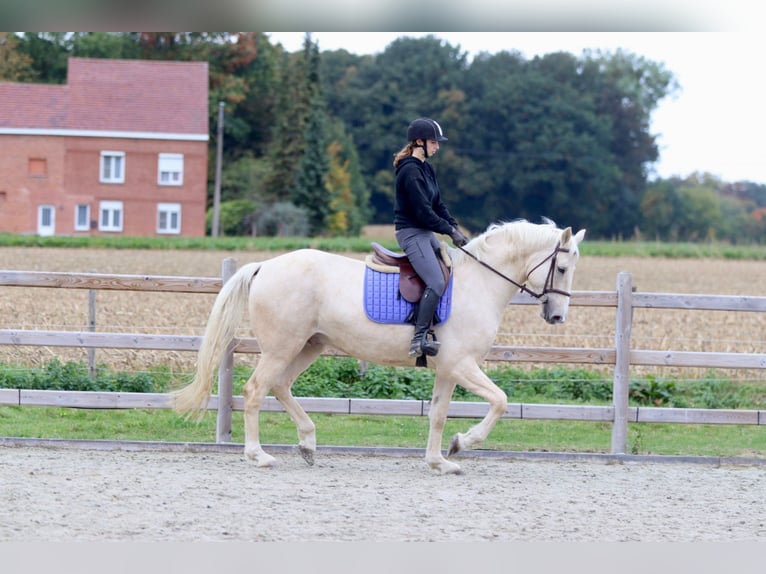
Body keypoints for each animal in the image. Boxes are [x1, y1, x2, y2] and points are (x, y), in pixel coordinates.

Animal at [173, 218, 586, 474]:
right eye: (563, 269)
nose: (557, 317)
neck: (480, 283)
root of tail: (266, 266)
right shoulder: (462, 365)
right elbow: (499, 401)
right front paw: (462, 443)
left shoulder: (448, 369)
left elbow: (438, 415)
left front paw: (439, 461)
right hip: (282, 348)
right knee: (256, 390)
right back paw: (259, 455)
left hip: (308, 346)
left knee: (280, 386)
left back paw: (308, 443)